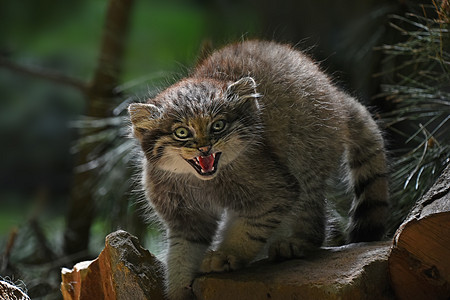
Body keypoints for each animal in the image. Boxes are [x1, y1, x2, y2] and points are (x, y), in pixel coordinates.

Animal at [128, 40, 388, 300]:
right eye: (181, 132)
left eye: (218, 126)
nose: (204, 148)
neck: (203, 181)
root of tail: (335, 94)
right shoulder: (184, 218)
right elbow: (182, 254)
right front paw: (178, 287)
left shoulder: (276, 192)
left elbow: (249, 230)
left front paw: (227, 254)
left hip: (306, 157)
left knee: (312, 215)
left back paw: (296, 242)